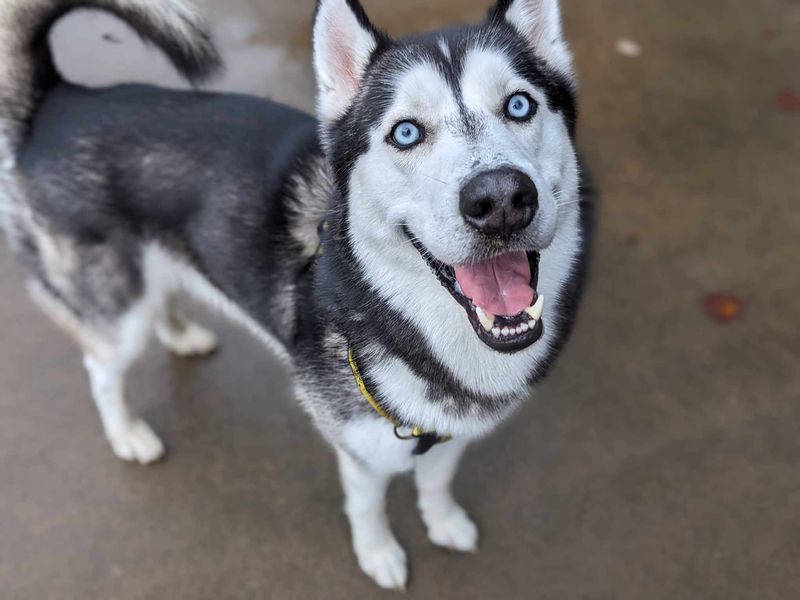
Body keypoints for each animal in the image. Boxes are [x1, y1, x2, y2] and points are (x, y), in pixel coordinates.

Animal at [0, 0, 588, 592]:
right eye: (405, 133)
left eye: (519, 105)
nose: (500, 199)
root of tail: (59, 100)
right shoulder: (360, 448)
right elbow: (368, 507)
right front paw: (378, 553)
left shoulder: (450, 434)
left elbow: (437, 482)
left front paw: (443, 521)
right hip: (117, 311)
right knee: (102, 369)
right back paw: (128, 434)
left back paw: (183, 336)